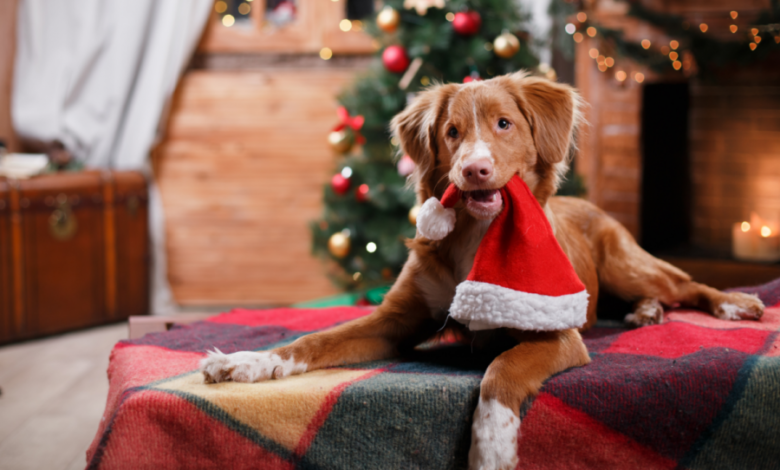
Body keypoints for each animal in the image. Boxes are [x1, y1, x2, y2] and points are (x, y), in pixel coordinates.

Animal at [200, 71, 760, 468]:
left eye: (504, 124)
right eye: (451, 133)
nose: (474, 170)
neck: (475, 236)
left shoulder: (556, 334)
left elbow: (499, 372)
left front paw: (491, 447)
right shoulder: (394, 322)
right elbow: (313, 341)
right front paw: (248, 363)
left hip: (627, 263)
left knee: (686, 284)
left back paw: (731, 303)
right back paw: (645, 314)